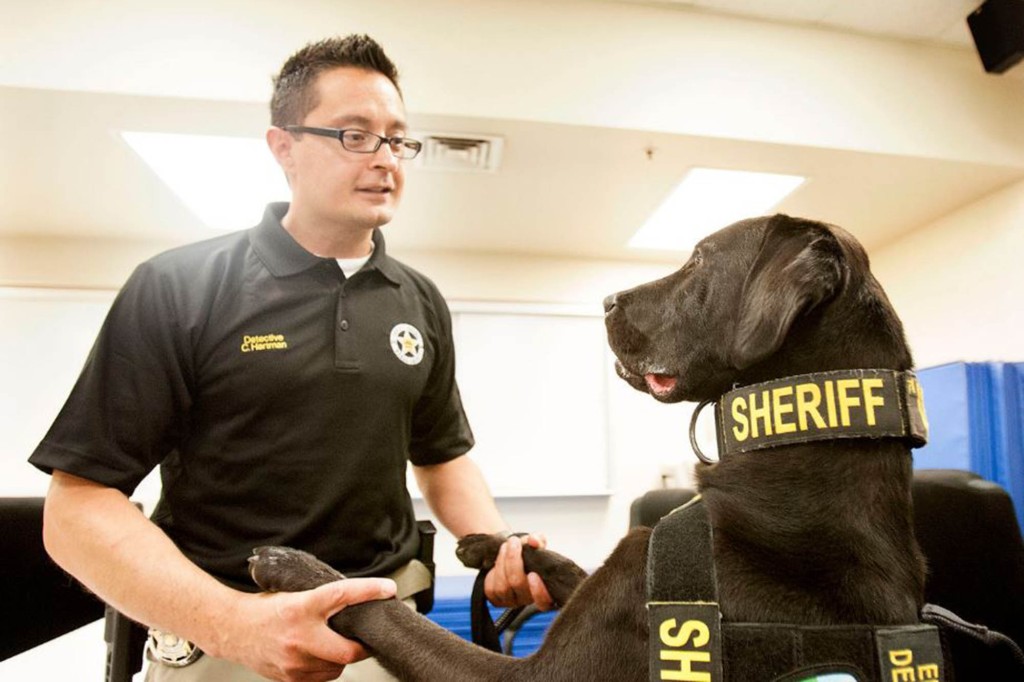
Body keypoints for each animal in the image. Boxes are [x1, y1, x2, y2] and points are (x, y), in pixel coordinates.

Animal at [249, 215, 929, 675]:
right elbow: (569, 567)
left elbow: (385, 611)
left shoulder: (536, 672)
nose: (605, 301)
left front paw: (303, 570)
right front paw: (499, 545)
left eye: (699, 261)